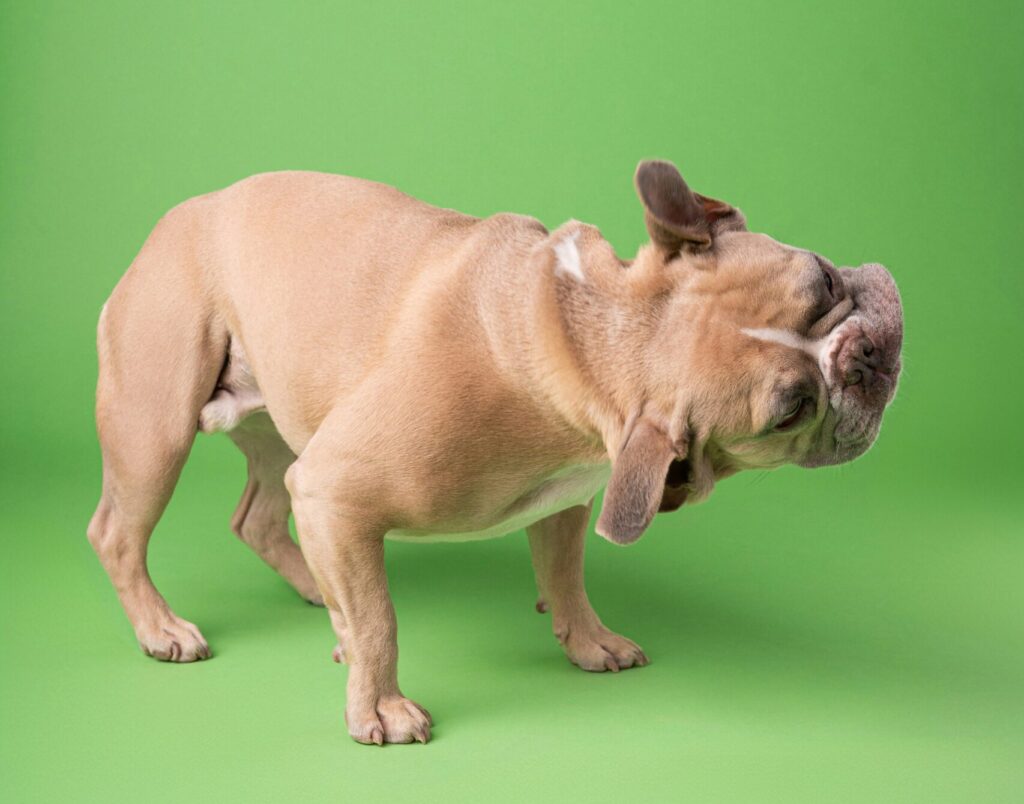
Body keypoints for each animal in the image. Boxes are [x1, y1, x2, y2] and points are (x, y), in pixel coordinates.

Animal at [88, 160, 903, 745]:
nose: (864, 355)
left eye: (823, 276)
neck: (595, 339)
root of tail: (184, 213)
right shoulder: (335, 488)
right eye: (790, 410)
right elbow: (379, 618)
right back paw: (163, 629)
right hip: (154, 425)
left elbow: (565, 574)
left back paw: (318, 597)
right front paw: (380, 708)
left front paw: (588, 641)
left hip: (278, 428)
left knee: (258, 514)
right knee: (120, 534)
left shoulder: (568, 499)